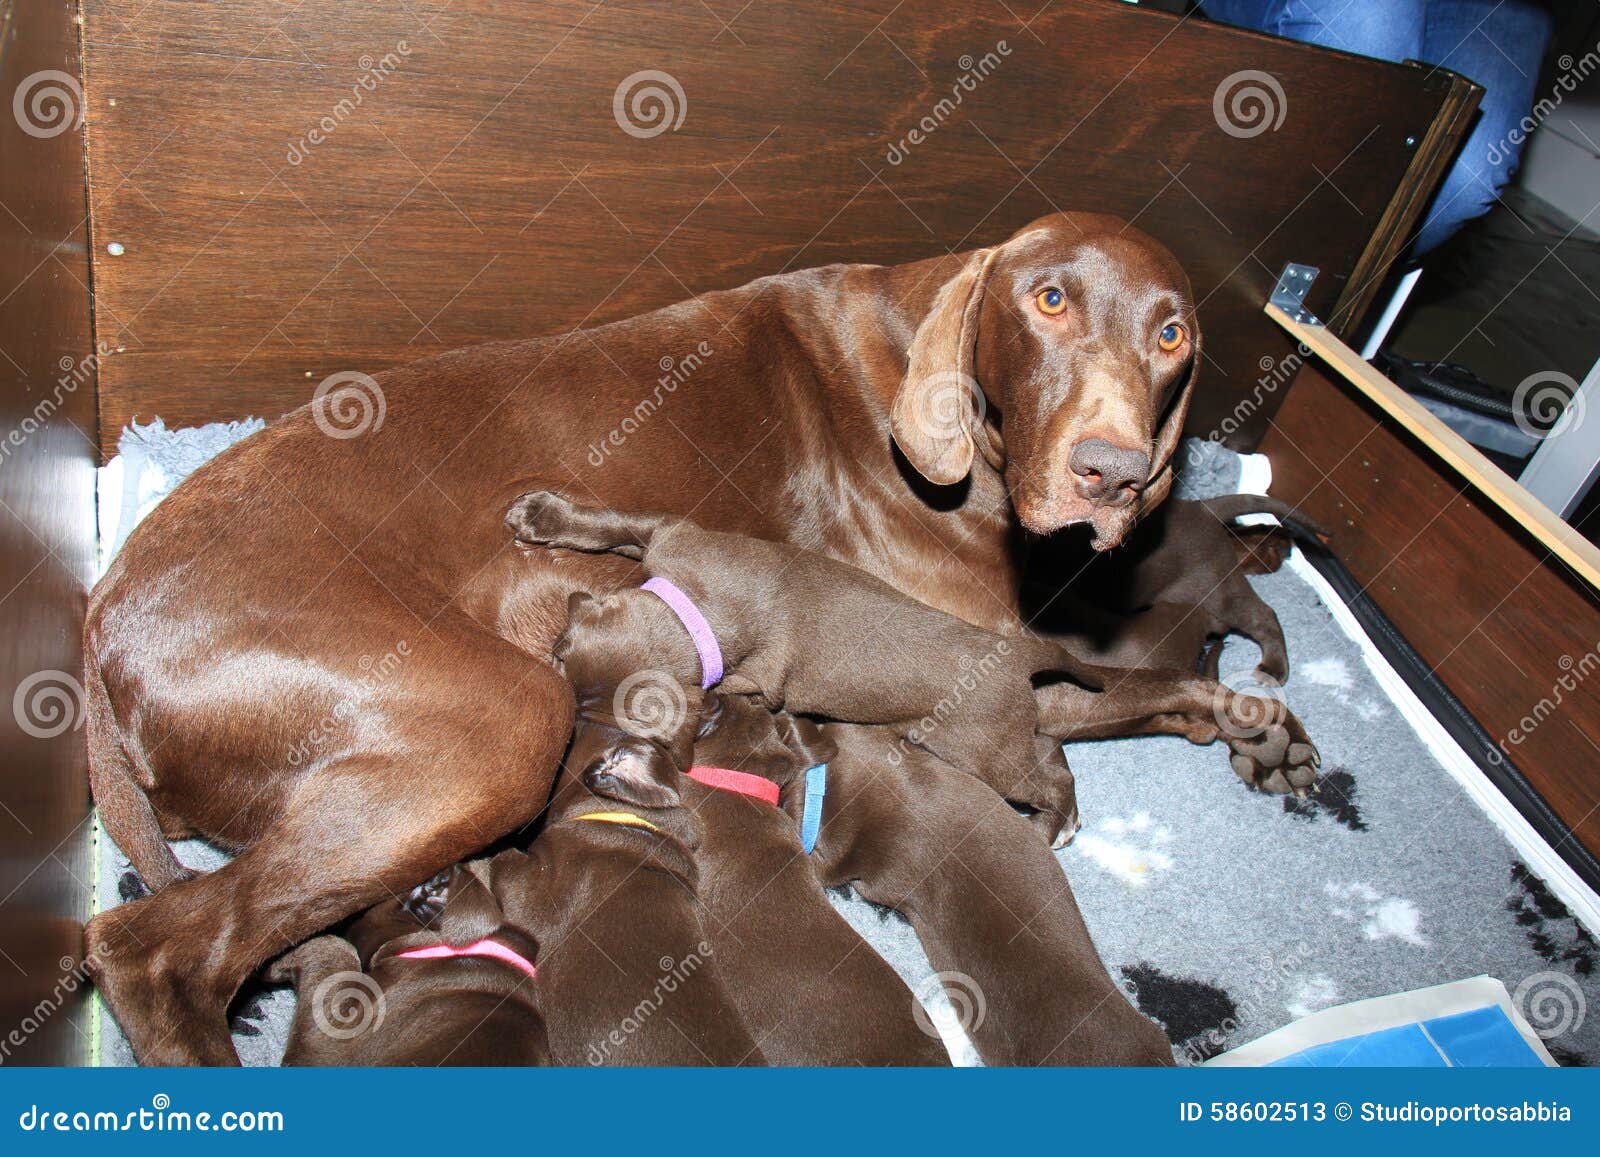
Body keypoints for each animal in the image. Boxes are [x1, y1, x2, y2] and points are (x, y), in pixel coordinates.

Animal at [508, 489, 1088, 844]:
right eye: (557, 657)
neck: (695, 613)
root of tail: (1015, 651)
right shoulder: (671, 534)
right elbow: (615, 523)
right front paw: (544, 516)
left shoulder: (755, 684)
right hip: (995, 739)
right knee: (1050, 747)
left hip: (980, 749)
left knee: (1046, 779)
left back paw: (1050, 830)